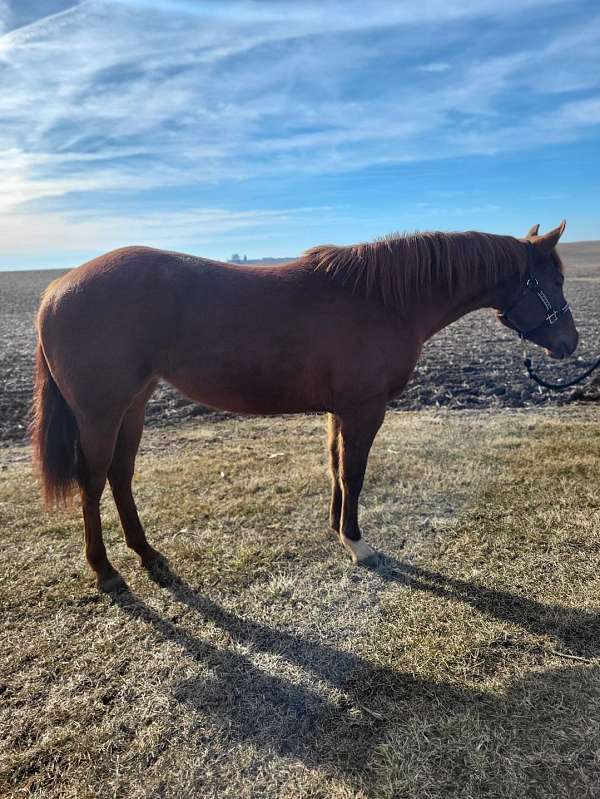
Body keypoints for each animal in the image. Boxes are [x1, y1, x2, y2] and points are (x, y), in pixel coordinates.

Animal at [30, 222, 576, 592]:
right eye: (553, 283)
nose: (571, 343)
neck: (383, 299)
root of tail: (54, 291)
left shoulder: (340, 409)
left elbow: (335, 466)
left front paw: (337, 530)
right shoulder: (364, 408)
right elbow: (354, 472)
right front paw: (357, 543)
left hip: (134, 406)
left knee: (120, 476)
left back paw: (149, 556)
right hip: (100, 414)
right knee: (93, 482)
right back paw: (106, 571)